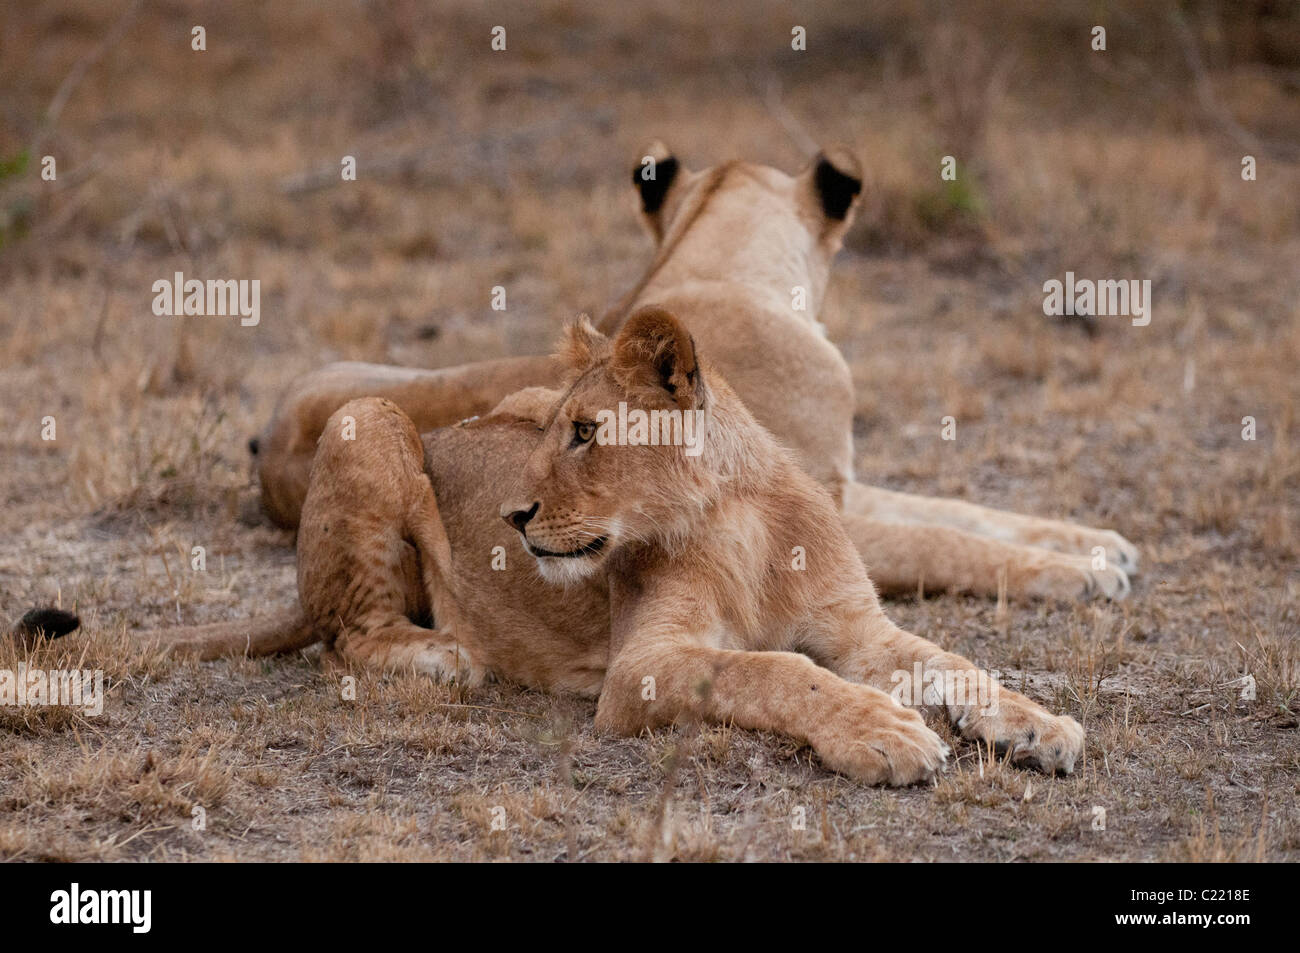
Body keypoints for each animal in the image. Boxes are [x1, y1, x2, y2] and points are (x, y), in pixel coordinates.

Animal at [144, 307, 1085, 785]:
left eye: (587, 432)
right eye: (561, 432)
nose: (514, 515)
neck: (740, 517)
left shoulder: (860, 629)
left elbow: (951, 659)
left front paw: (1041, 726)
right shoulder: (640, 667)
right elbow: (770, 668)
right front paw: (884, 733)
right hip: (368, 417)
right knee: (346, 632)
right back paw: (440, 655)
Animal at [250, 144, 1137, 602]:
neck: (712, 264)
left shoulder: (838, 479)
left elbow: (965, 510)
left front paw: (1103, 545)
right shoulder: (819, 504)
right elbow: (948, 542)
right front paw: (1079, 577)